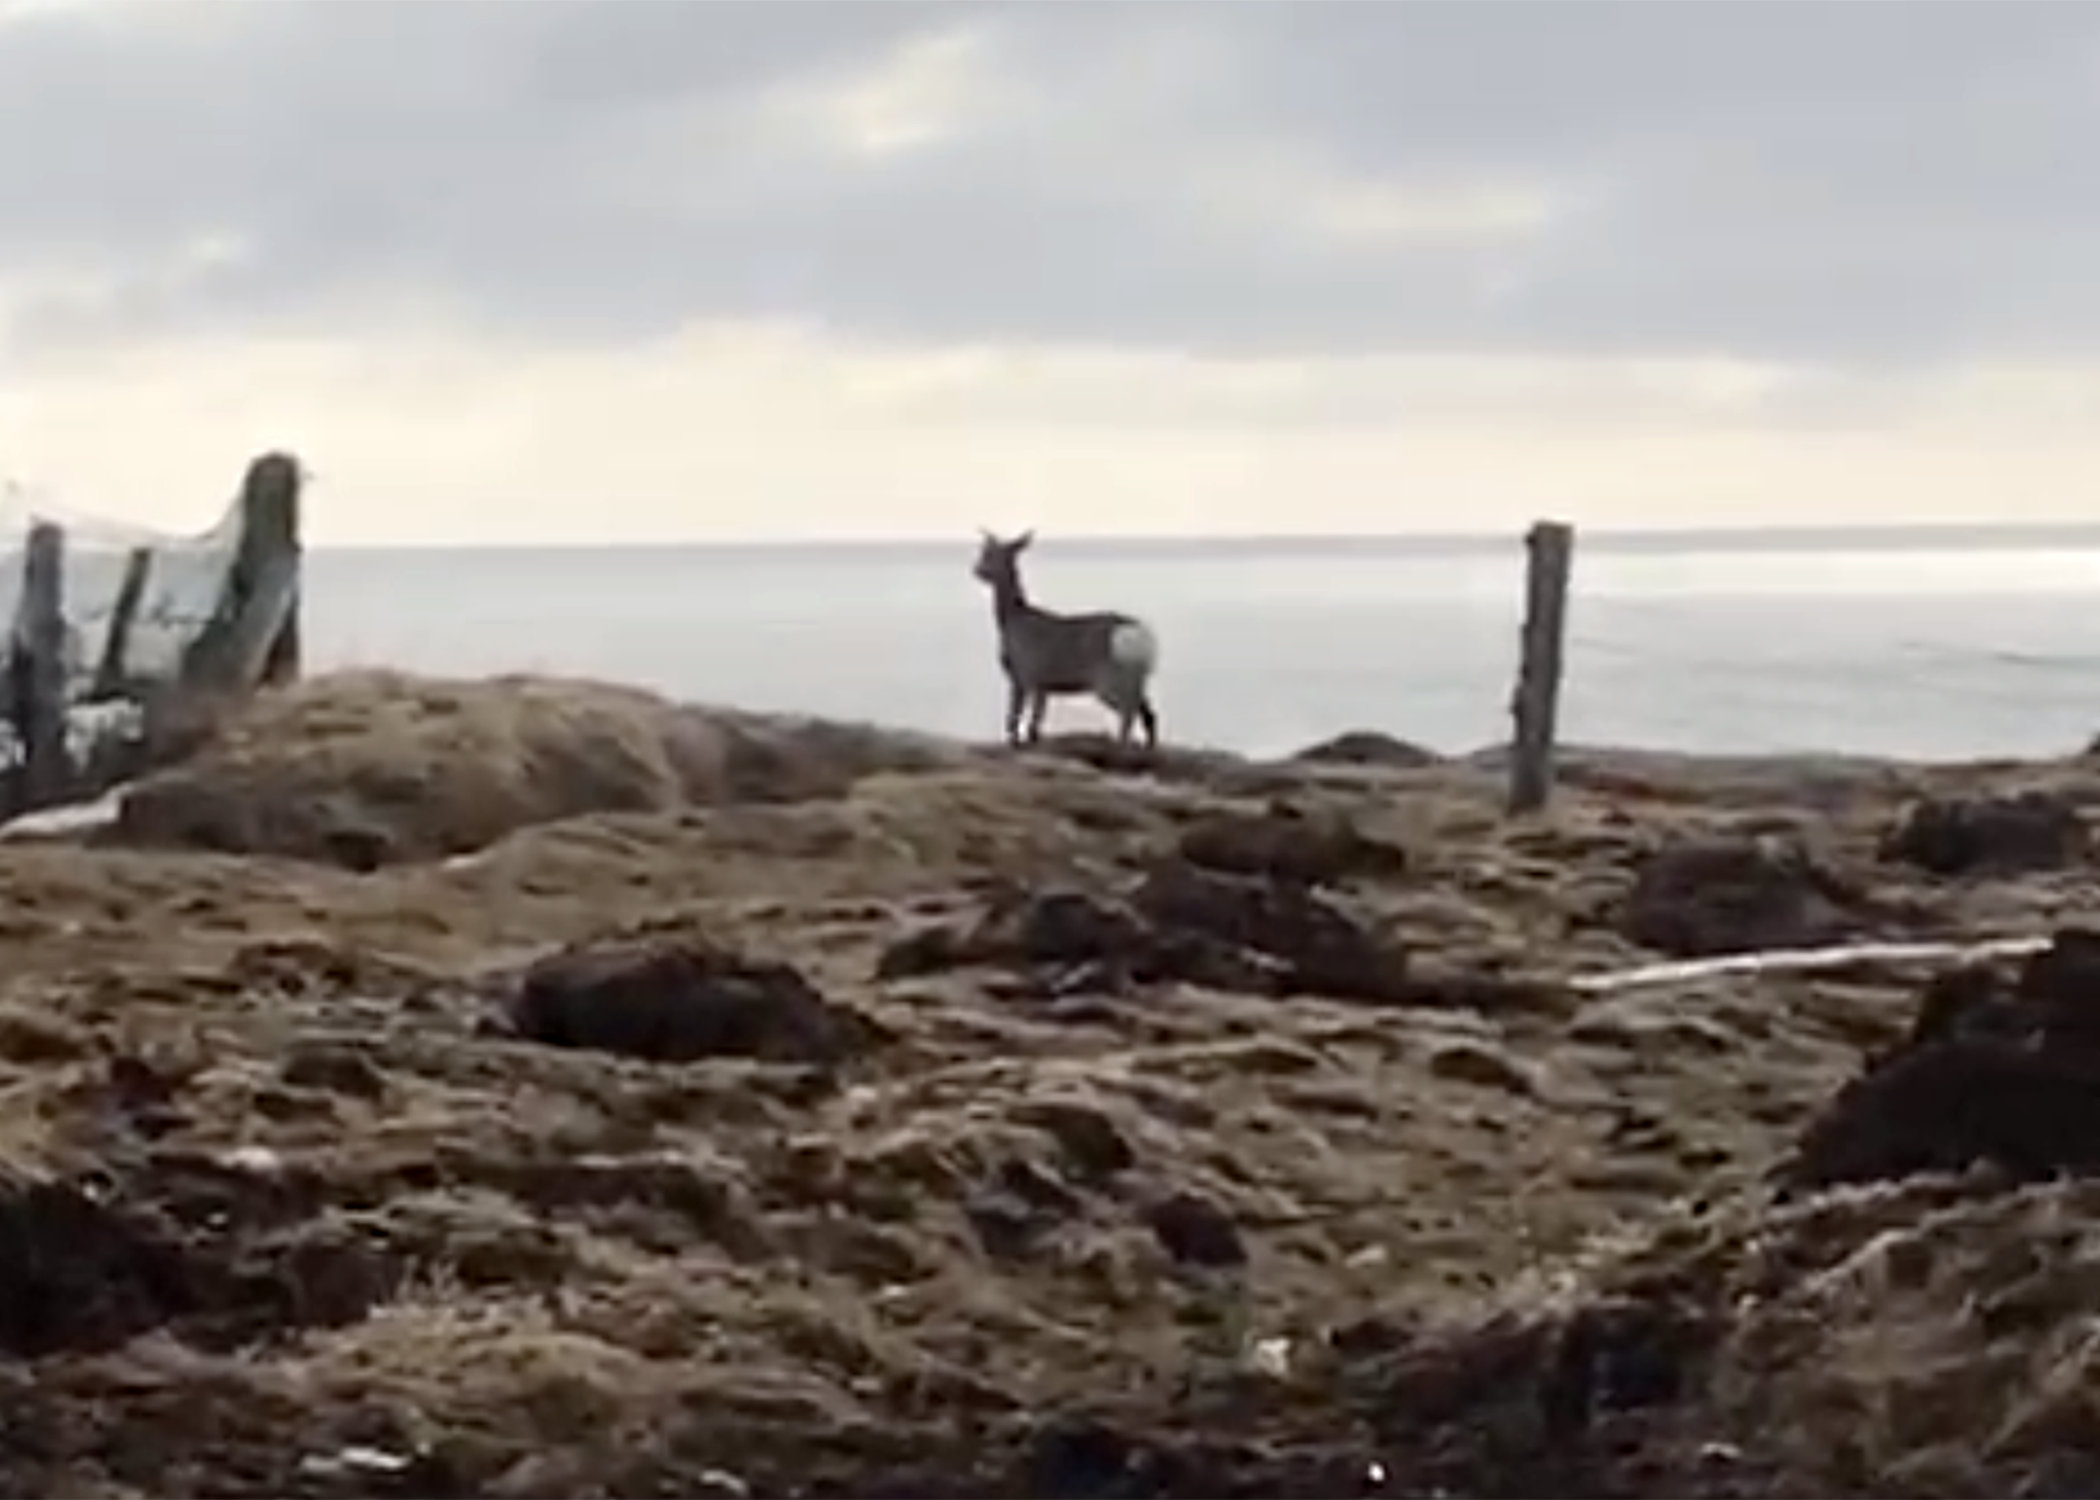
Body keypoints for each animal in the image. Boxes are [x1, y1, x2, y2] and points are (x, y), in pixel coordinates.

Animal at [970, 529, 1167, 747]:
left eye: (989, 553)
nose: (977, 570)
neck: (1013, 620)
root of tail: (1138, 635)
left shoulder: (1025, 673)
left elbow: (1016, 715)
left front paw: (1015, 742)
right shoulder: (1040, 683)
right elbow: (1034, 721)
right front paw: (1030, 740)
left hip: (1110, 677)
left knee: (1128, 710)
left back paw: (1121, 744)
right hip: (1138, 675)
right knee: (1149, 713)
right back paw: (1148, 747)